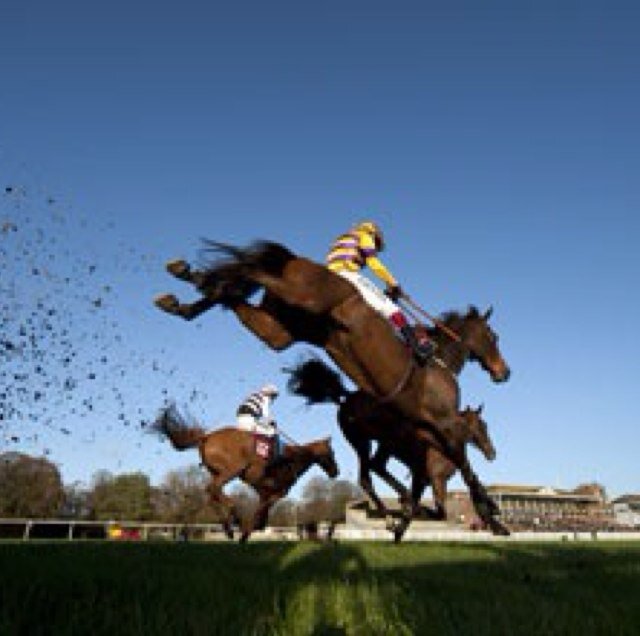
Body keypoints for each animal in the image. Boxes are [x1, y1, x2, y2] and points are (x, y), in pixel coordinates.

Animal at [152, 404, 338, 544]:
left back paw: (228, 527)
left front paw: (243, 534)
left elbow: (261, 521)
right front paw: (244, 531)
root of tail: (205, 437)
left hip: (216, 472)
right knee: (214, 489)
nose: (336, 472)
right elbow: (259, 520)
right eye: (332, 453)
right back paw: (234, 513)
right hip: (232, 470)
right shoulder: (275, 493)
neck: (294, 459)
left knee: (211, 493)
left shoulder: (264, 492)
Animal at [288, 356, 498, 540]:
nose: (492, 453)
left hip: (380, 443)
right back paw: (392, 515)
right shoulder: (434, 479)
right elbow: (438, 510)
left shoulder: (424, 477)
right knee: (368, 476)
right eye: (483, 426)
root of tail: (346, 398)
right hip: (365, 441)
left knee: (375, 468)